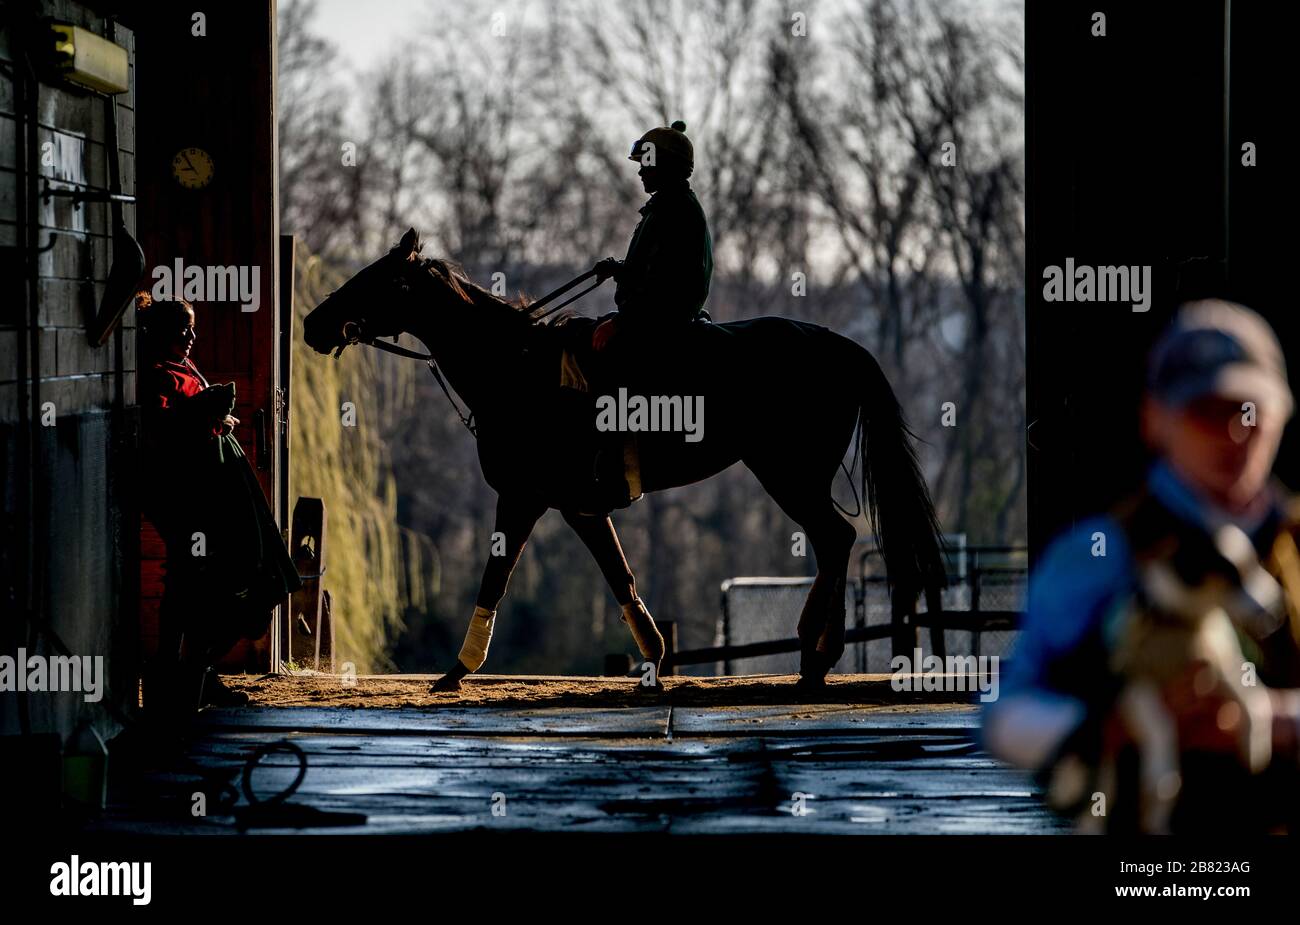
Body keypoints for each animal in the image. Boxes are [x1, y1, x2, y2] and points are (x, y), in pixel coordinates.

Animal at [301, 228, 946, 691]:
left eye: (379, 278)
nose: (311, 323)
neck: (516, 366)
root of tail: (841, 344)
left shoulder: (523, 498)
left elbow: (496, 576)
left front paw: (456, 670)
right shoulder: (580, 508)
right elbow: (619, 575)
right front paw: (654, 657)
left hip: (788, 474)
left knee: (834, 538)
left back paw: (815, 653)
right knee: (834, 541)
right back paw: (817, 658)